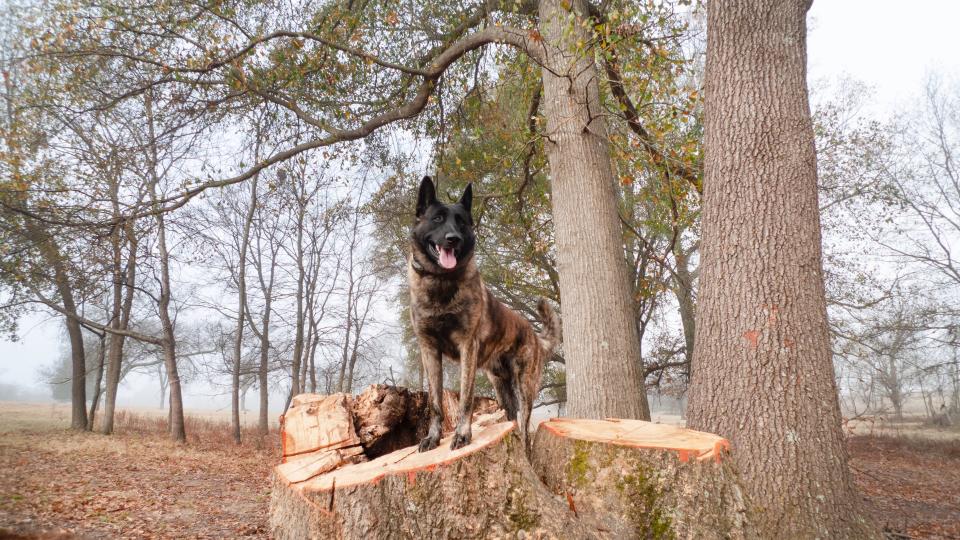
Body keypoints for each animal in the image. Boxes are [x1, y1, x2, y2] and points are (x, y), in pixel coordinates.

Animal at [406, 177, 564, 452]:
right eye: (437, 219)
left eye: (461, 221)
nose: (453, 239)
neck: (441, 281)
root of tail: (535, 336)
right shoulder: (429, 350)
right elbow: (435, 403)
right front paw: (433, 438)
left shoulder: (467, 346)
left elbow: (466, 399)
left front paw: (462, 435)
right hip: (501, 387)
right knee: (512, 418)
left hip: (524, 387)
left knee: (524, 426)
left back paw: (525, 447)